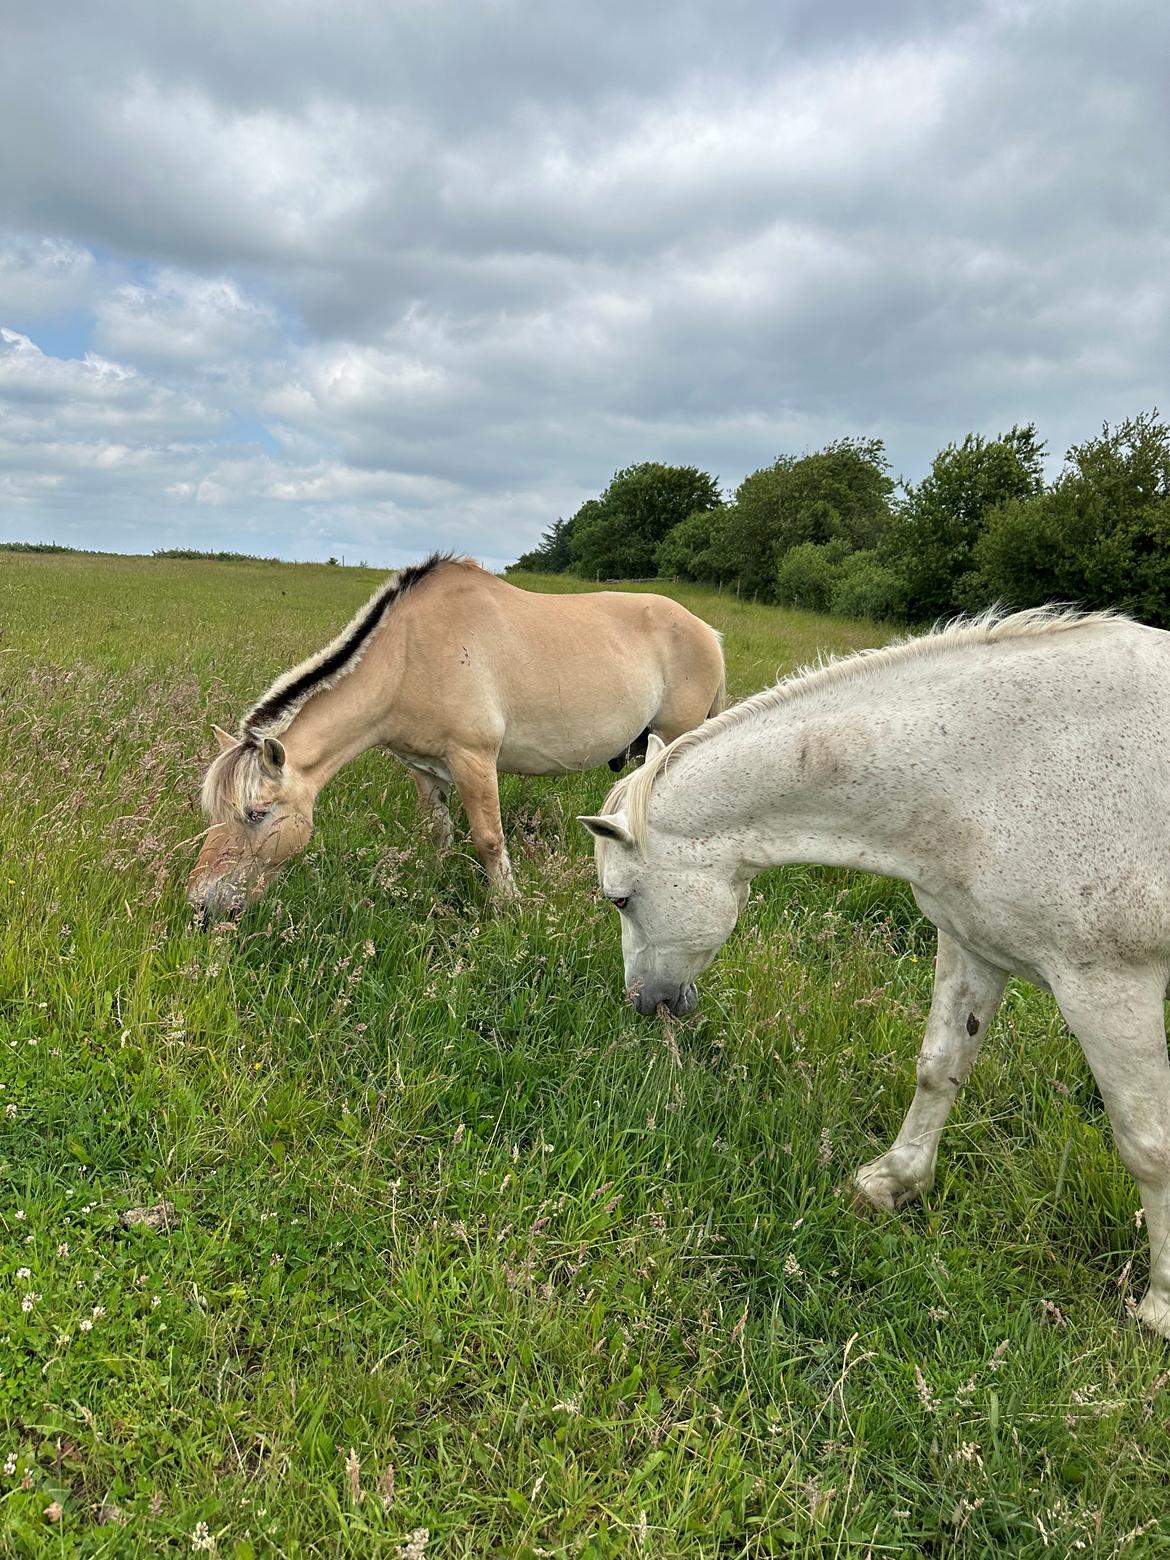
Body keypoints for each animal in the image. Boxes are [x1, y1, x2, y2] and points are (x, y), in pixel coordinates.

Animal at [188, 552, 723, 917]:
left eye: (256, 814)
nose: (200, 905)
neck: (408, 656)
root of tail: (706, 630)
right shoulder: (423, 769)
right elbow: (438, 833)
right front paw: (433, 881)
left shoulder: (474, 760)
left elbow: (489, 838)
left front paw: (507, 906)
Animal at [583, 608, 1170, 1341]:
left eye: (621, 899)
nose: (644, 1001)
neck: (995, 766)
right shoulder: (973, 945)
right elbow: (940, 1068)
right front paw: (892, 1182)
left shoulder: (1108, 984)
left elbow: (1148, 1142)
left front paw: (1160, 1308)